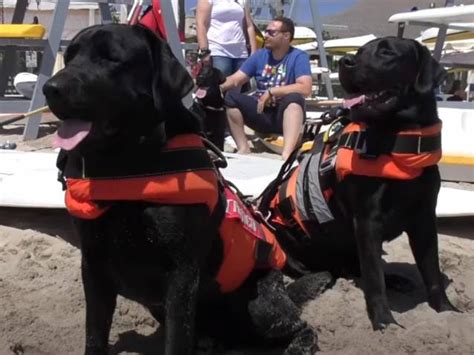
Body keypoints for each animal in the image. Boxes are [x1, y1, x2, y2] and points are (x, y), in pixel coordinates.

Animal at [42, 24, 324, 355]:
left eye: (110, 58)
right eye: (70, 57)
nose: (50, 88)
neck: (127, 165)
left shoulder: (181, 274)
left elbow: (176, 339)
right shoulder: (93, 263)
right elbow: (94, 335)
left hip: (261, 303)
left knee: (300, 327)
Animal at [262, 36, 460, 330]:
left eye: (387, 52)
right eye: (360, 51)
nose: (346, 61)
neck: (398, 139)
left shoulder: (424, 218)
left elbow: (432, 271)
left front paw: (446, 310)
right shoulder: (368, 221)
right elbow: (374, 278)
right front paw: (385, 323)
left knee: (356, 266)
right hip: (290, 243)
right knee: (339, 268)